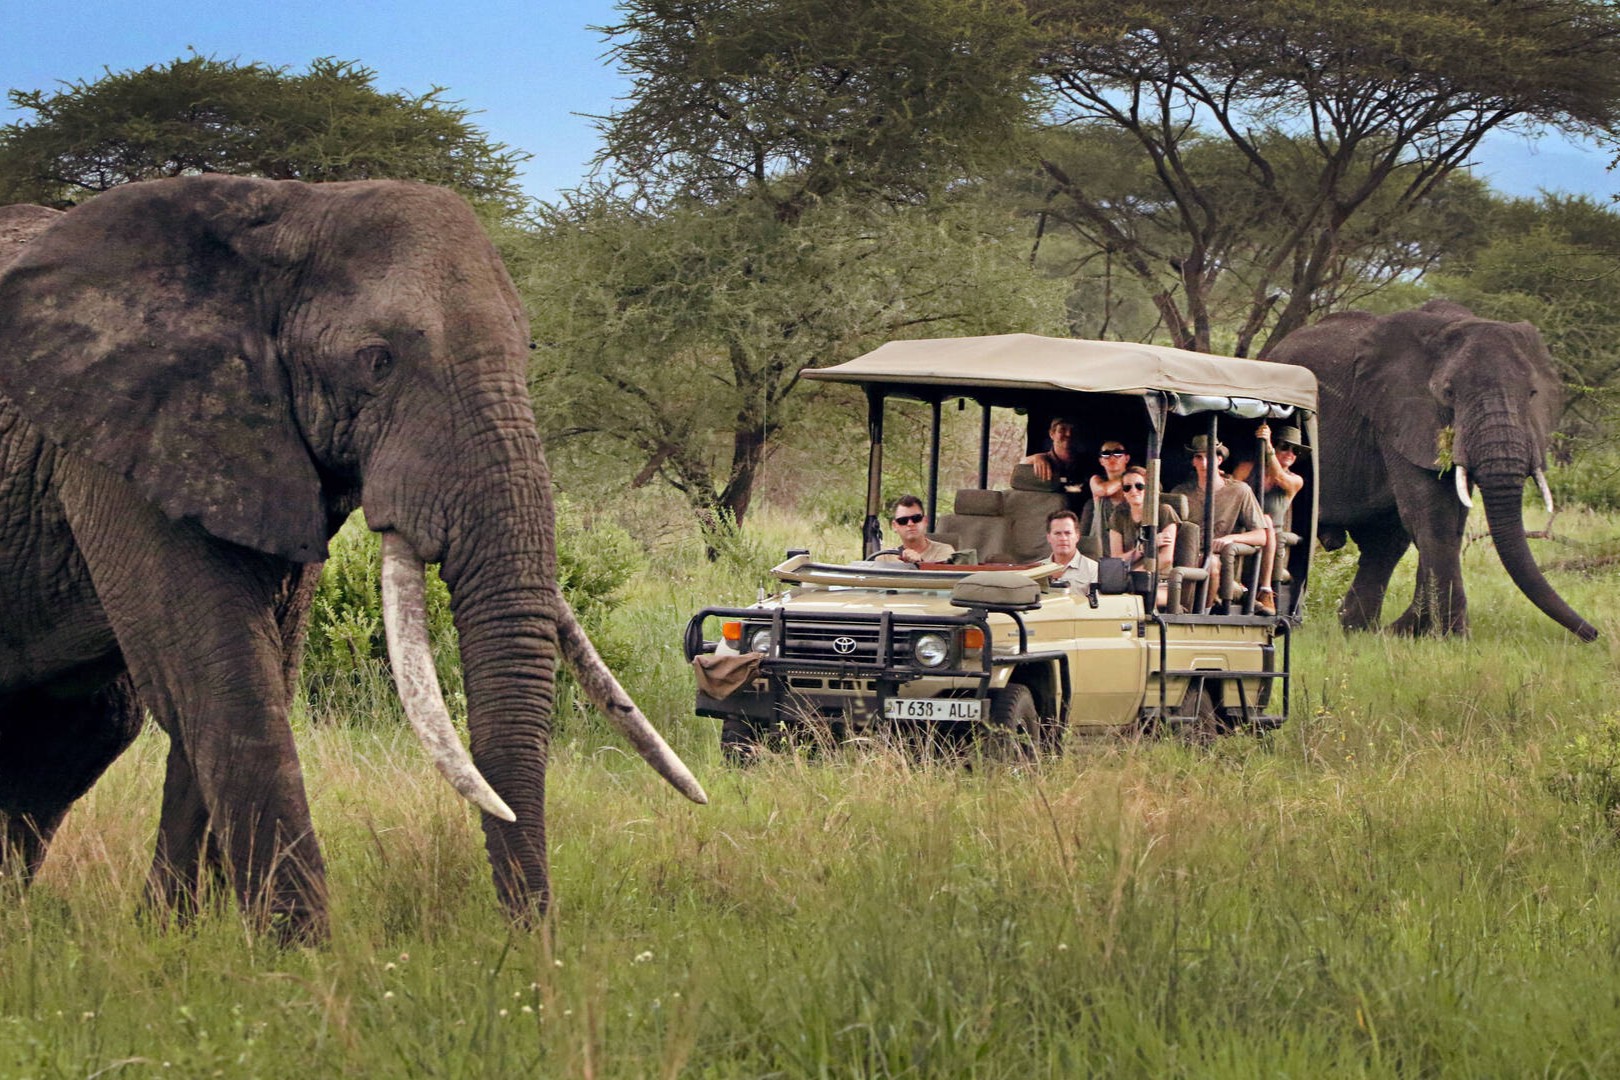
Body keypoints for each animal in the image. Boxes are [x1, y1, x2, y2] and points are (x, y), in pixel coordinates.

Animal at [0, 176, 707, 942]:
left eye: (528, 352)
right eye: (377, 361)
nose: (532, 944)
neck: (286, 208)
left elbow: (251, 673)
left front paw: (174, 943)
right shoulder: (120, 435)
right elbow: (218, 676)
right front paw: (301, 957)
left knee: (78, 733)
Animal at [1269, 300, 1597, 641]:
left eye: (1532, 394)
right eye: (1449, 393)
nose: (1593, 634)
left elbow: (1451, 520)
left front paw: (1419, 632)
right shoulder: (1398, 415)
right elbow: (1432, 515)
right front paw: (1455, 637)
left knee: (1385, 543)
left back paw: (1357, 628)